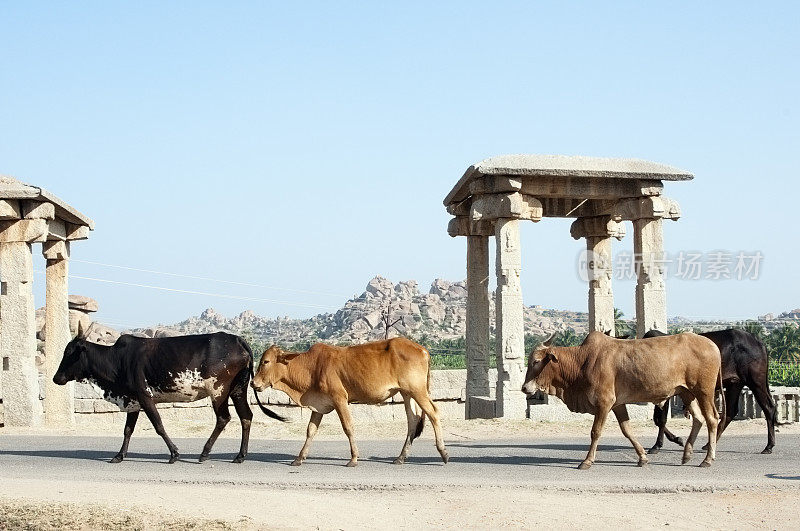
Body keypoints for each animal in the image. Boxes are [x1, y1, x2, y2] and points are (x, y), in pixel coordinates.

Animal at [53, 328, 286, 466]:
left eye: (69, 353)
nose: (56, 378)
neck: (117, 360)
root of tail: (238, 340)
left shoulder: (144, 397)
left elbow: (158, 425)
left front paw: (174, 454)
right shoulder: (133, 401)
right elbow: (127, 430)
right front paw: (119, 455)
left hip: (218, 391)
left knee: (224, 418)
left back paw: (205, 453)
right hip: (238, 389)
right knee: (246, 416)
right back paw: (240, 456)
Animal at [253, 338, 446, 468]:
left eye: (266, 361)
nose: (253, 383)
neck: (311, 367)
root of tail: (423, 350)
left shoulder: (340, 399)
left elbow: (348, 427)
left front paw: (353, 459)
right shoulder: (319, 405)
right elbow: (310, 431)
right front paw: (299, 458)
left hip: (418, 391)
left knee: (434, 413)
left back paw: (443, 452)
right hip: (407, 393)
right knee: (412, 421)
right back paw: (400, 457)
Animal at [520, 332, 720, 470]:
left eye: (536, 361)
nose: (524, 388)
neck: (582, 361)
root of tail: (712, 344)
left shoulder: (604, 403)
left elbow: (595, 432)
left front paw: (587, 461)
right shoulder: (618, 405)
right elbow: (627, 431)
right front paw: (642, 457)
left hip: (704, 391)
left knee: (712, 419)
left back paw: (707, 459)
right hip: (687, 393)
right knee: (698, 419)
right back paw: (687, 454)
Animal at [648, 330, 780, 456]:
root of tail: (758, 341)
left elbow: (661, 419)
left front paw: (658, 445)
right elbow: (657, 419)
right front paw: (675, 440)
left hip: (755, 381)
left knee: (768, 408)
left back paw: (769, 446)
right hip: (735, 383)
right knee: (731, 412)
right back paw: (709, 444)